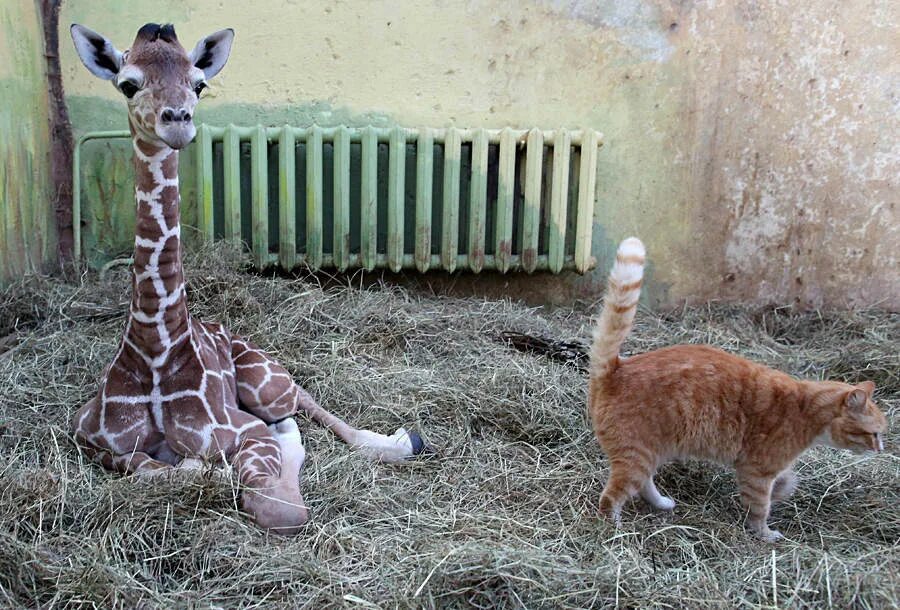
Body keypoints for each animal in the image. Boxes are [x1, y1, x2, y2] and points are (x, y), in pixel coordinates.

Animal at [68, 21, 428, 528]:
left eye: (199, 83)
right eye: (128, 84)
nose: (177, 121)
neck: (156, 345)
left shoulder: (246, 431)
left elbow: (275, 503)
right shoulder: (88, 437)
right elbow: (157, 470)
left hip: (266, 380)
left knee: (300, 399)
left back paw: (398, 442)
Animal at [588, 235, 888, 540]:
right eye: (873, 434)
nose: (881, 450)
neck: (807, 409)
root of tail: (616, 368)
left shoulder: (768, 469)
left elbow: (784, 482)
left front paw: (783, 492)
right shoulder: (757, 471)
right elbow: (760, 507)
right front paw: (765, 534)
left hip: (652, 451)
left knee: (644, 482)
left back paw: (661, 503)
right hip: (636, 455)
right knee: (611, 497)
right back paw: (613, 529)